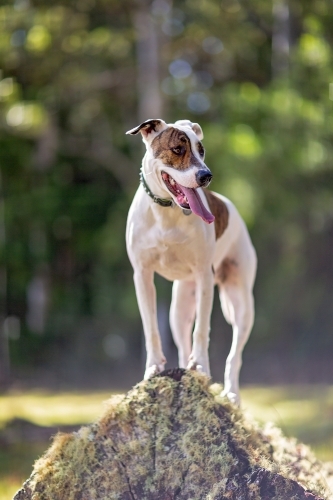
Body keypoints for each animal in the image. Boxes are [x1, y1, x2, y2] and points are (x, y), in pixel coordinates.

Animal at [125, 119, 256, 404]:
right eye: (177, 149)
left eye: (201, 150)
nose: (206, 175)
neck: (166, 211)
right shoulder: (142, 275)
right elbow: (151, 327)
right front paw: (153, 367)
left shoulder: (204, 275)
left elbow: (202, 330)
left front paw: (202, 367)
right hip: (180, 307)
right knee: (183, 340)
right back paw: (186, 370)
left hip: (241, 302)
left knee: (235, 354)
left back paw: (231, 393)